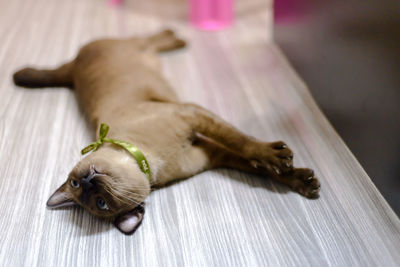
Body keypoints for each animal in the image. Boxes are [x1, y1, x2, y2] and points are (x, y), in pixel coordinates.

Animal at [11, 29, 318, 237]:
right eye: (101, 203)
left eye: (75, 183)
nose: (89, 181)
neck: (149, 158)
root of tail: (74, 68)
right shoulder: (213, 153)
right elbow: (257, 165)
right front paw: (302, 180)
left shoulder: (194, 116)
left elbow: (244, 142)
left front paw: (283, 163)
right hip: (140, 54)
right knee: (151, 42)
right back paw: (178, 38)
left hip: (133, 49)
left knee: (150, 39)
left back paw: (177, 38)